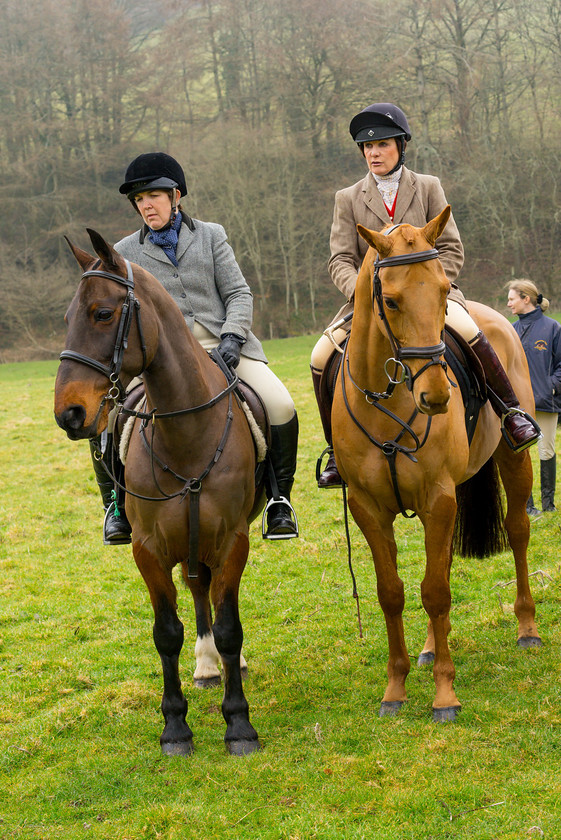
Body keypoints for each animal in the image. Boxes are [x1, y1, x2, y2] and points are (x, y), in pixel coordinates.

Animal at [53, 230, 264, 756]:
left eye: (102, 313)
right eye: (67, 318)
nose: (68, 414)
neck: (187, 434)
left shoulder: (232, 541)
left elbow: (230, 627)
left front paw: (239, 724)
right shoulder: (148, 550)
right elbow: (166, 633)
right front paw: (175, 727)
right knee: (198, 589)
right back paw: (206, 665)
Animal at [330, 205, 540, 720]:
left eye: (444, 290)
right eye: (391, 301)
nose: (438, 397)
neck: (388, 398)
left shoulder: (438, 497)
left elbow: (435, 592)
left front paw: (445, 695)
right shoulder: (369, 508)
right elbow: (394, 593)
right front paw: (395, 689)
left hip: (512, 461)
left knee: (518, 533)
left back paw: (526, 629)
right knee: (438, 566)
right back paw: (428, 648)